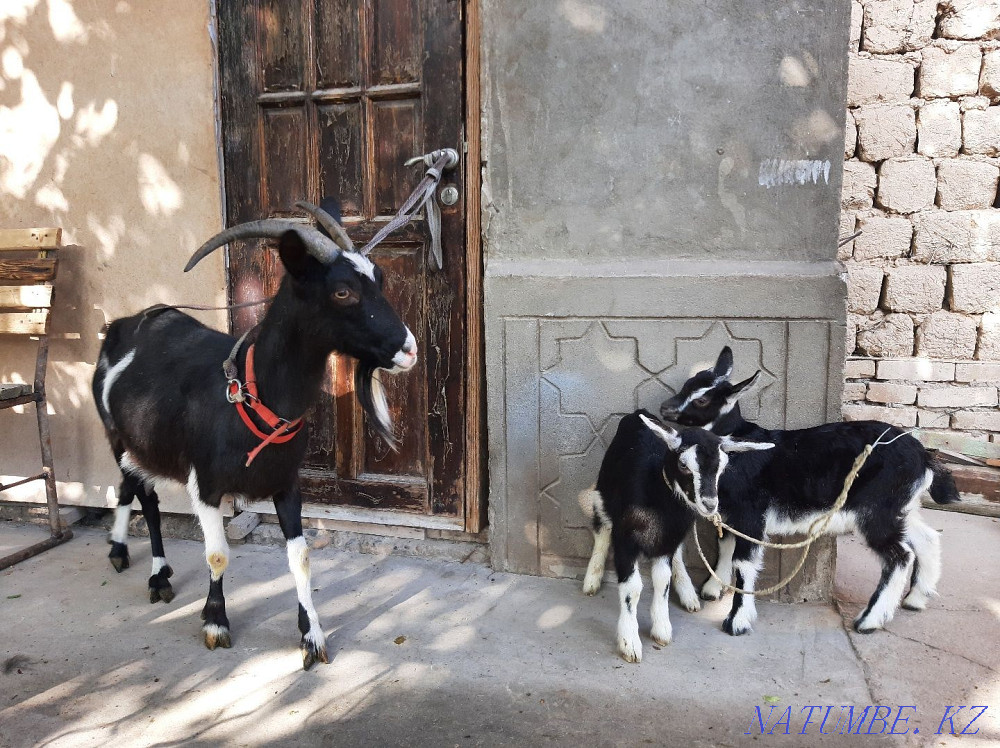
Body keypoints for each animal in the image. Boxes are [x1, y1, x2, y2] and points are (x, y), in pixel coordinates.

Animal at [91, 201, 417, 669]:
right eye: (342, 292)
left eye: (380, 278)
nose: (409, 349)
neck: (251, 396)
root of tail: (122, 325)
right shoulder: (206, 485)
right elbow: (217, 553)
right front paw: (215, 623)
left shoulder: (287, 482)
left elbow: (300, 556)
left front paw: (311, 635)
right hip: (117, 436)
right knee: (146, 499)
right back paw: (151, 572)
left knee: (128, 487)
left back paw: (130, 555)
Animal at [581, 410, 773, 663]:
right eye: (683, 464)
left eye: (722, 467)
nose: (710, 504)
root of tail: (637, 413)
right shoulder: (625, 540)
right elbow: (633, 587)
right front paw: (629, 642)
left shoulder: (667, 540)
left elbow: (662, 579)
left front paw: (661, 629)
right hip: (605, 488)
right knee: (602, 527)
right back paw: (592, 578)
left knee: (678, 554)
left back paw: (688, 593)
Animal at [659, 347, 959, 636]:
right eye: (687, 384)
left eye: (702, 400)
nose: (665, 408)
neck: (735, 446)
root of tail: (924, 457)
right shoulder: (733, 515)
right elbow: (725, 546)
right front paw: (712, 589)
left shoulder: (751, 513)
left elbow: (743, 562)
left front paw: (737, 621)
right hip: (902, 506)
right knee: (927, 538)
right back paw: (916, 599)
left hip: (877, 509)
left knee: (900, 556)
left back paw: (869, 621)